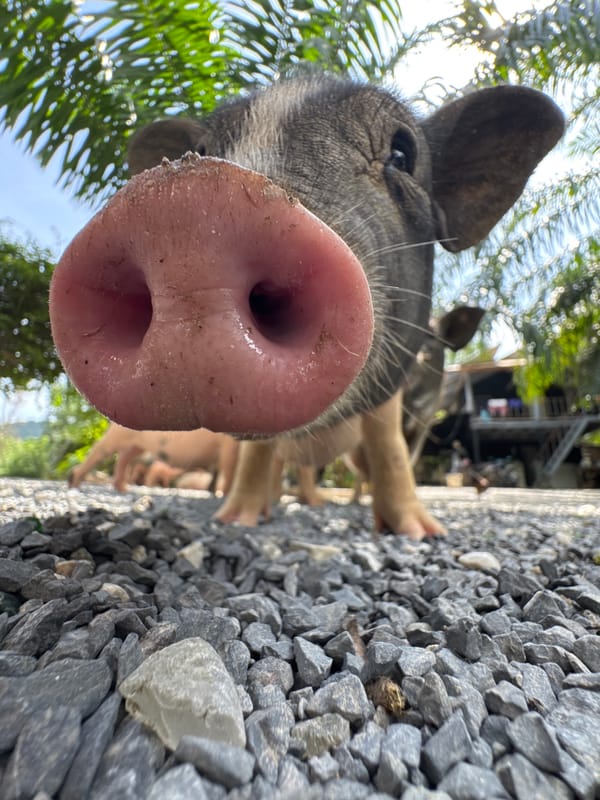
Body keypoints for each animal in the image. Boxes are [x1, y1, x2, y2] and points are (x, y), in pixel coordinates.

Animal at [68, 424, 238, 494]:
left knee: (123, 458)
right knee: (100, 448)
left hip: (137, 446)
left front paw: (215, 493)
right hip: (119, 433)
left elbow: (220, 472)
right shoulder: (229, 444)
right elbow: (230, 470)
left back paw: (123, 489)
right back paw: (74, 483)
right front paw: (224, 495)